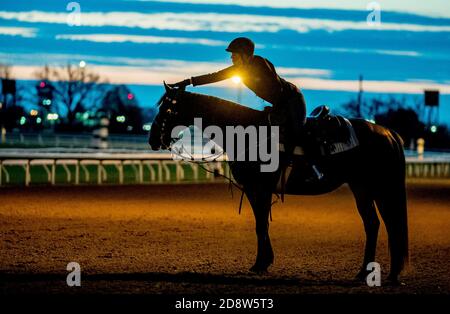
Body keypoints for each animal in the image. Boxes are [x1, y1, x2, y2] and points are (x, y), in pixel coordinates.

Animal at [149, 83, 410, 284]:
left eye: (168, 108)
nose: (152, 140)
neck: (246, 132)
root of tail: (388, 133)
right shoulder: (254, 191)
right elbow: (261, 224)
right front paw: (264, 262)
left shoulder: (260, 190)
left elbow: (261, 225)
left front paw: (260, 264)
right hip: (361, 187)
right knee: (373, 224)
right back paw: (365, 272)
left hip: (380, 188)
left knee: (389, 224)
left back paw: (389, 274)